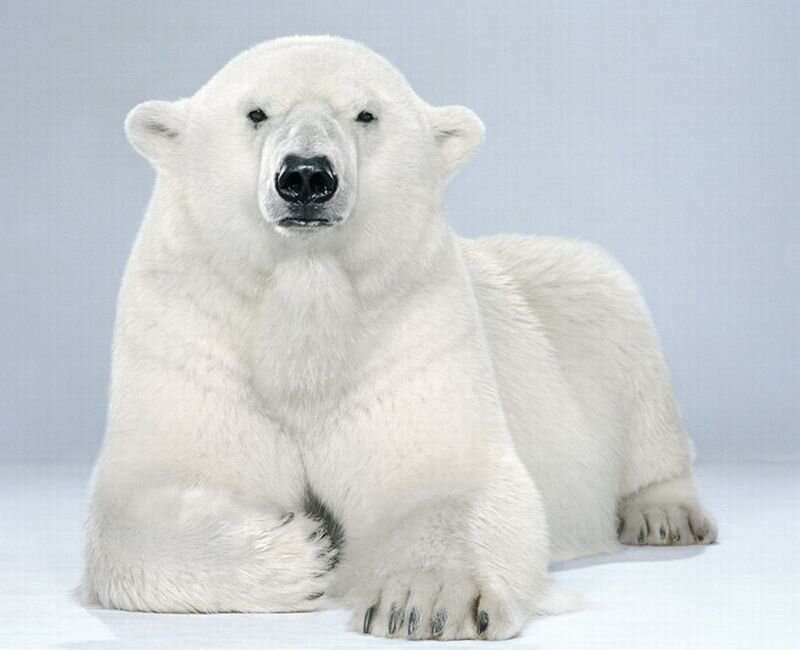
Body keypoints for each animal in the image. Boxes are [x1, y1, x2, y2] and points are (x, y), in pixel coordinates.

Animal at [83, 35, 717, 640]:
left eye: (365, 113)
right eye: (256, 112)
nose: (306, 176)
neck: (305, 309)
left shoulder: (416, 330)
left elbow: (448, 479)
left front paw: (427, 603)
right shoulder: (191, 332)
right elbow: (138, 502)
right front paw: (306, 548)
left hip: (600, 305)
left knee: (645, 404)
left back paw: (663, 516)